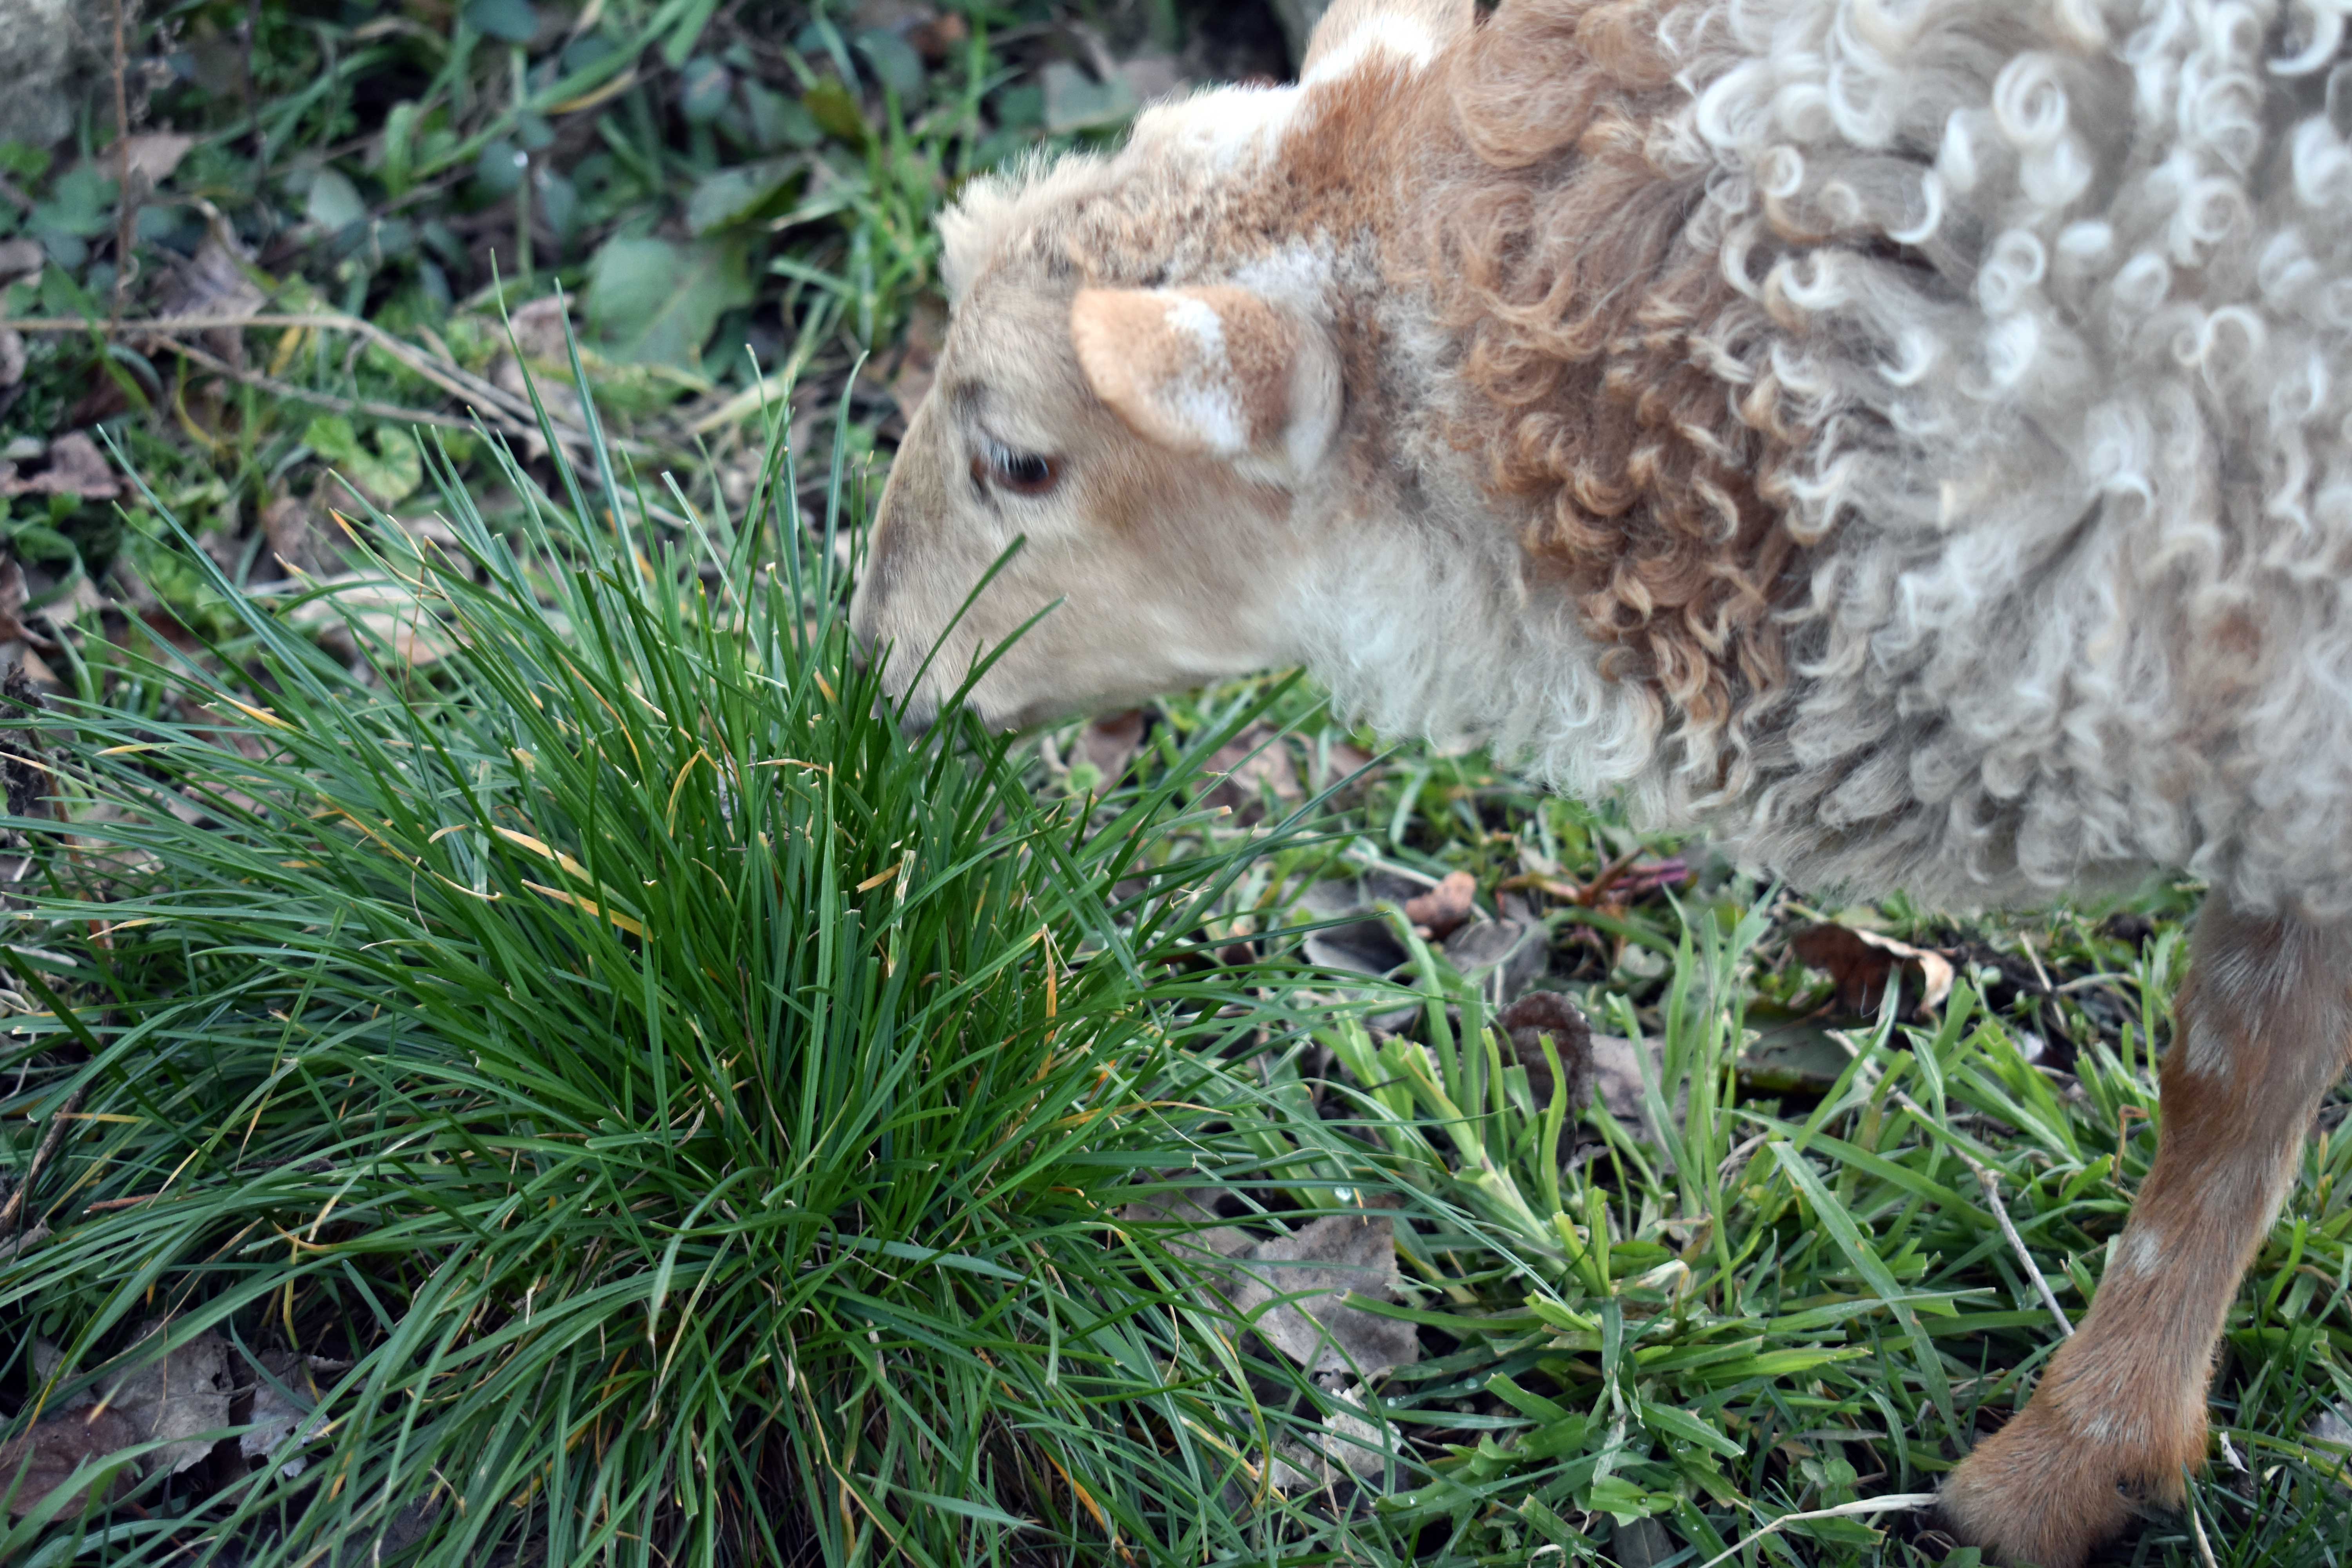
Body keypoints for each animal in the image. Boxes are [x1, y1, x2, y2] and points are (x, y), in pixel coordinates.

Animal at [851, 3, 2352, 1561]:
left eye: (1019, 460)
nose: (874, 656)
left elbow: (2231, 1076)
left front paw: (2061, 1461)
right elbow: (2236, 1068)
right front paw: (2101, 1447)